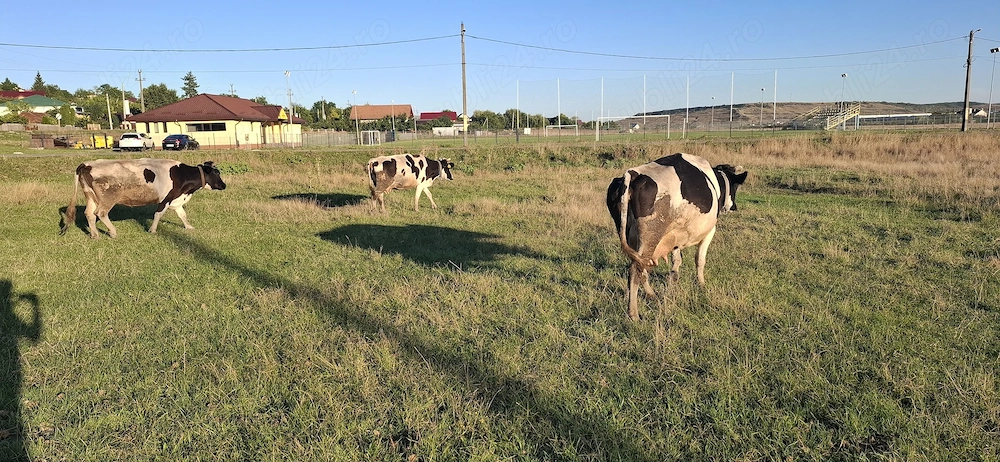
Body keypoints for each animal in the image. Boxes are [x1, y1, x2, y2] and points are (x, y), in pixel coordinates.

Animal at [61, 158, 226, 239]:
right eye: (217, 173)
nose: (224, 185)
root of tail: (86, 164)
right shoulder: (166, 198)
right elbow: (158, 214)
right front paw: (152, 230)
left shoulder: (177, 198)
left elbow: (182, 214)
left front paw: (189, 227)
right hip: (108, 198)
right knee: (100, 214)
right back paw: (113, 232)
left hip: (90, 196)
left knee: (89, 214)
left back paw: (95, 235)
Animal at [606, 153, 747, 320]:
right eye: (735, 186)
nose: (735, 207)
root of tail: (634, 174)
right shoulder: (710, 231)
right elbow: (700, 259)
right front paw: (701, 284)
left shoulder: (676, 235)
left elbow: (676, 262)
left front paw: (673, 283)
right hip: (650, 238)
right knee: (636, 270)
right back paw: (634, 313)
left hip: (633, 238)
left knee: (641, 266)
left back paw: (651, 294)